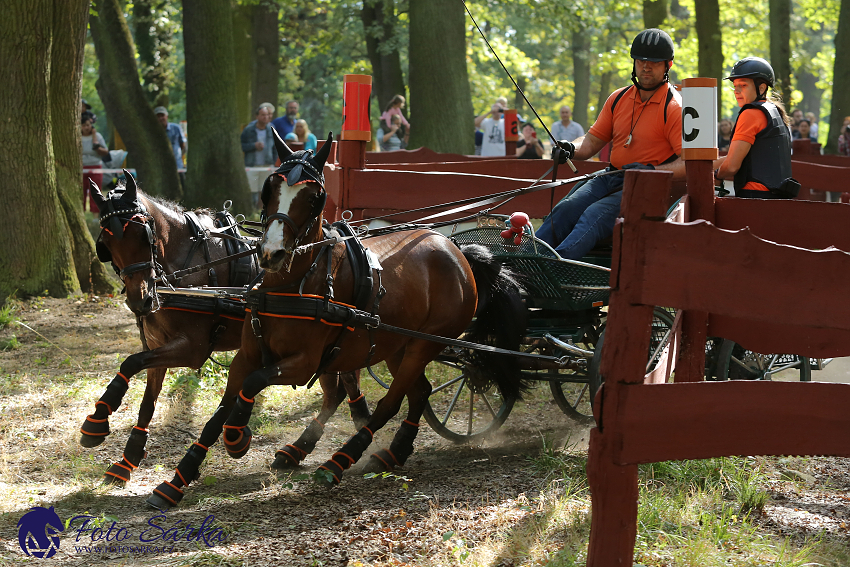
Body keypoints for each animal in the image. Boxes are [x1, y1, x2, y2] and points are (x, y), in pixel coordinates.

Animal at [81, 174, 370, 488]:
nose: (141, 301)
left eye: (142, 234)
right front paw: (127, 459)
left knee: (344, 387)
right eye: (106, 240)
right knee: (335, 392)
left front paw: (97, 420)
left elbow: (131, 362)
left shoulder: (191, 349)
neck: (185, 267)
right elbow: (146, 398)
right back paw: (304, 448)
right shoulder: (156, 345)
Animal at [149, 132, 528, 510]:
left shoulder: (303, 363)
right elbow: (220, 411)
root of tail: (456, 250)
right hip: (398, 345)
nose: (271, 253)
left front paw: (237, 435)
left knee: (391, 403)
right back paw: (394, 452)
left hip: (425, 343)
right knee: (419, 391)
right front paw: (178, 480)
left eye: (315, 198)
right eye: (269, 189)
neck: (292, 286)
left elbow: (253, 384)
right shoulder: (246, 355)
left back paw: (339, 462)